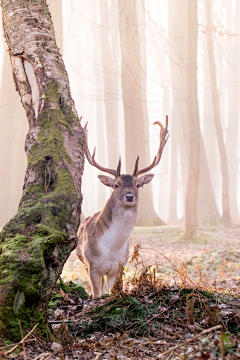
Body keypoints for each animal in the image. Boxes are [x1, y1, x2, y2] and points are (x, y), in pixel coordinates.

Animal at [76, 116, 169, 296]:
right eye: (116, 185)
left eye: (138, 185)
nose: (129, 196)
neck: (111, 250)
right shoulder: (92, 266)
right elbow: (96, 294)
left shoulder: (118, 267)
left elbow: (112, 293)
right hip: (83, 263)